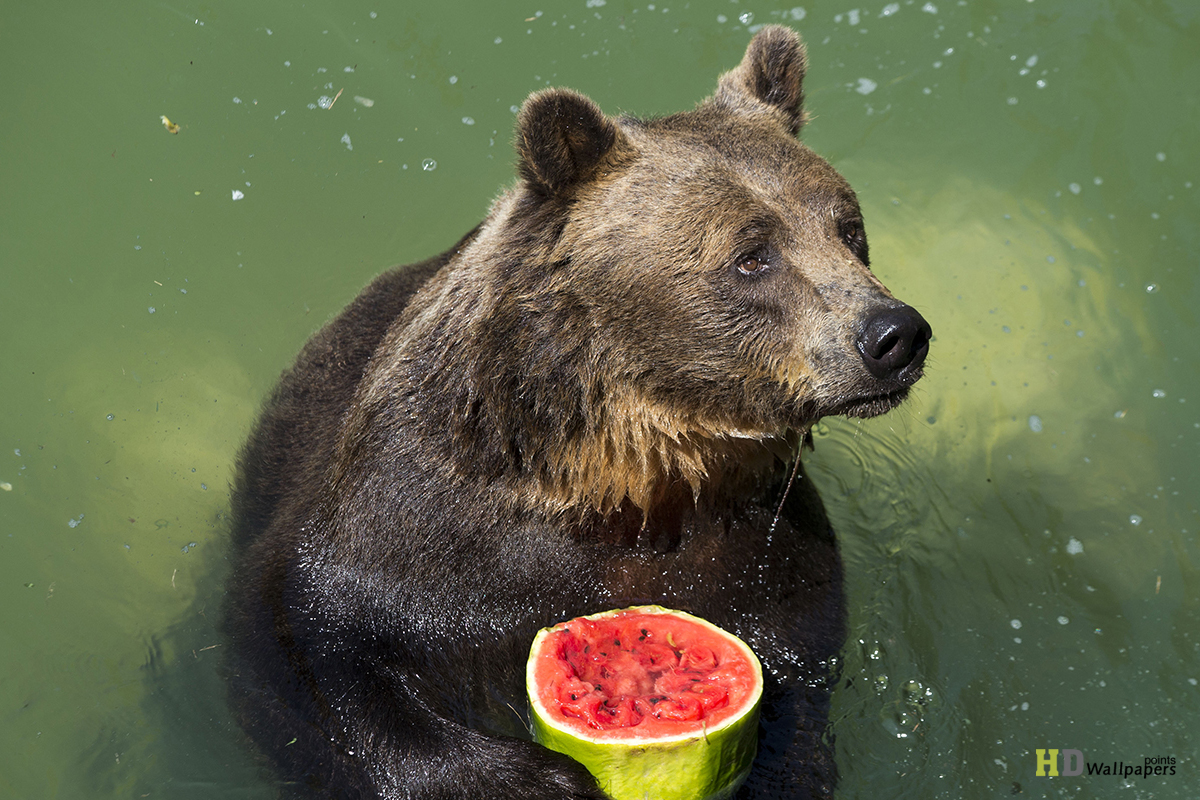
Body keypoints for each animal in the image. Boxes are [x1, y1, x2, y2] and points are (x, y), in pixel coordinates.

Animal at [225, 25, 930, 800]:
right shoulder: (416, 535)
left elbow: (798, 674)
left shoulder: (763, 547)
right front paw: (536, 778)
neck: (627, 471)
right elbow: (307, 646)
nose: (894, 334)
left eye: (847, 226)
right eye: (752, 254)